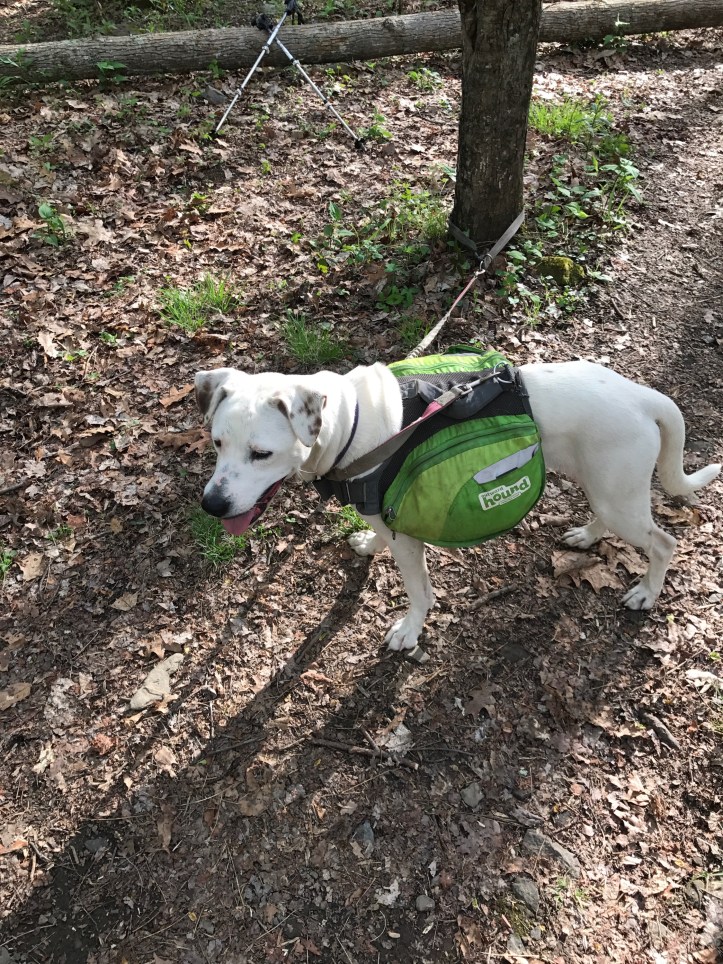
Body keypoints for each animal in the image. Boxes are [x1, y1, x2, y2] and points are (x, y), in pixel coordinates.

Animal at [194, 360, 720, 652]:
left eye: (261, 453)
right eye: (217, 442)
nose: (212, 504)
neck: (349, 422)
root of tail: (644, 397)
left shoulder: (407, 540)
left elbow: (419, 593)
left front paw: (410, 631)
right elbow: (375, 536)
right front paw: (366, 543)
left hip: (619, 497)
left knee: (664, 542)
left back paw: (647, 592)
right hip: (605, 488)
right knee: (608, 518)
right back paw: (586, 535)